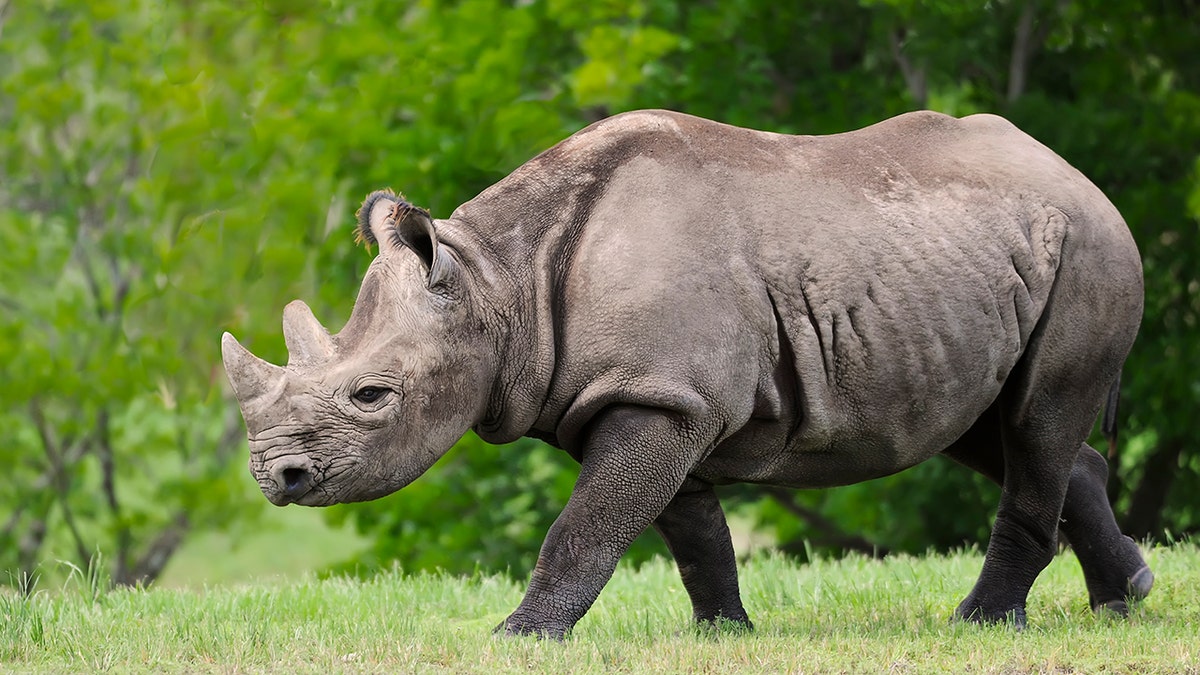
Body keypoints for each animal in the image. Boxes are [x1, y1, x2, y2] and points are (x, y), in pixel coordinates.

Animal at [220, 107, 1147, 634]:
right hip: (968, 266)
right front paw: (725, 633)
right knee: (991, 424)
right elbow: (690, 530)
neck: (500, 281)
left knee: (1035, 421)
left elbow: (587, 524)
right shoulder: (656, 397)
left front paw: (520, 635)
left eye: (371, 394)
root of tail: (1078, 174)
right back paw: (1125, 598)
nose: (275, 477)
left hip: (1092, 249)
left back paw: (982, 624)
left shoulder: (661, 397)